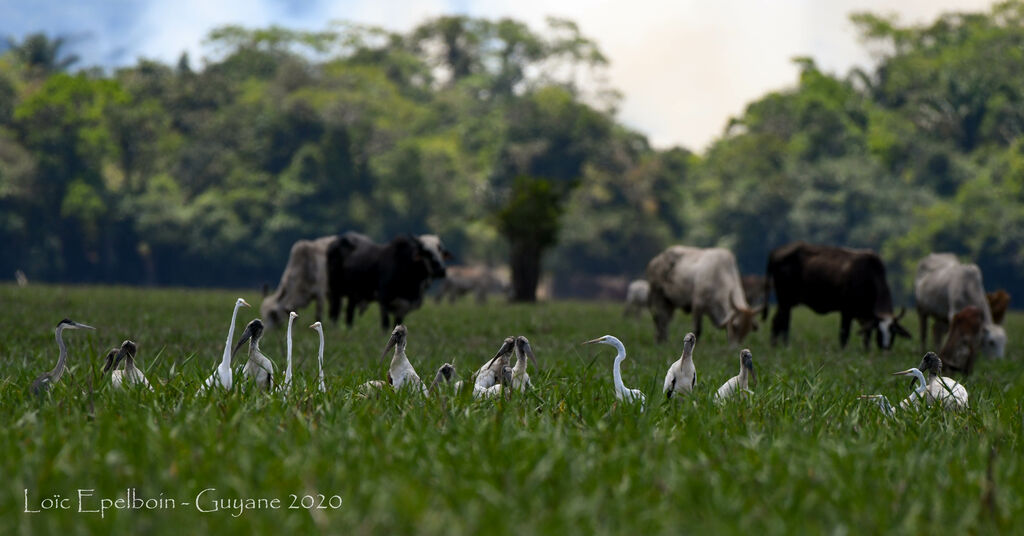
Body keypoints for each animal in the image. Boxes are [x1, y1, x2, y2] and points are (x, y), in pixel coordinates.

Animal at [761, 241, 913, 350]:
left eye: (893, 331)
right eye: (881, 332)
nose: (885, 348)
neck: (869, 276)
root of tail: (775, 252)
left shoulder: (866, 316)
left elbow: (867, 335)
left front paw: (867, 350)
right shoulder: (847, 311)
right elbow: (844, 335)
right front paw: (843, 352)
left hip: (786, 301)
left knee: (776, 321)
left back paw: (774, 346)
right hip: (785, 300)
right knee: (785, 323)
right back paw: (786, 345)